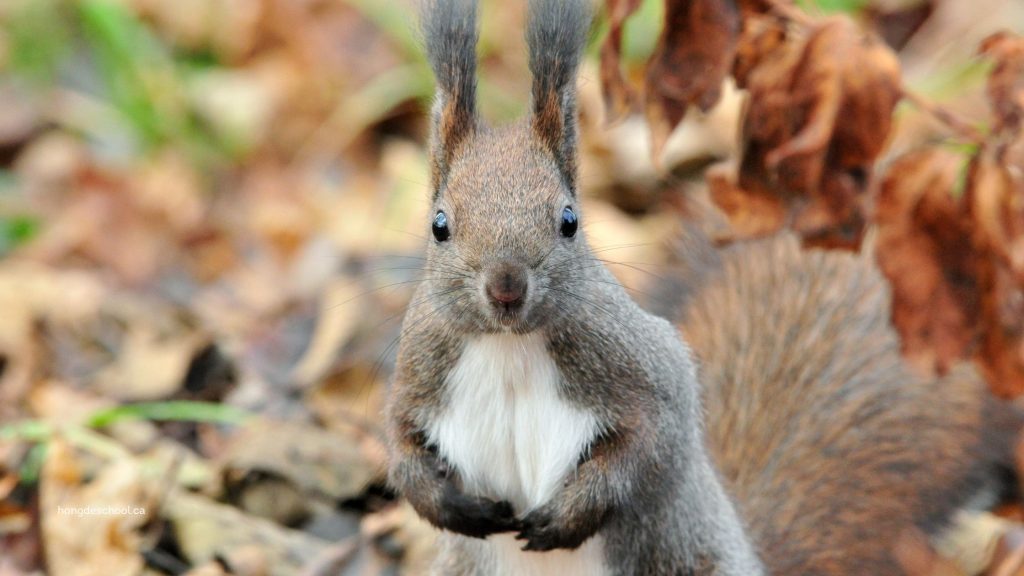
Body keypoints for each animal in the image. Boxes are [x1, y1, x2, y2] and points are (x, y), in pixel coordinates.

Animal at [382, 0, 1015, 569]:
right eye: (439, 225)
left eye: (569, 220)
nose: (507, 288)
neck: (509, 347)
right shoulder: (418, 373)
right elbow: (400, 446)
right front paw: (445, 505)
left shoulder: (645, 368)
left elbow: (652, 442)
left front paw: (570, 516)